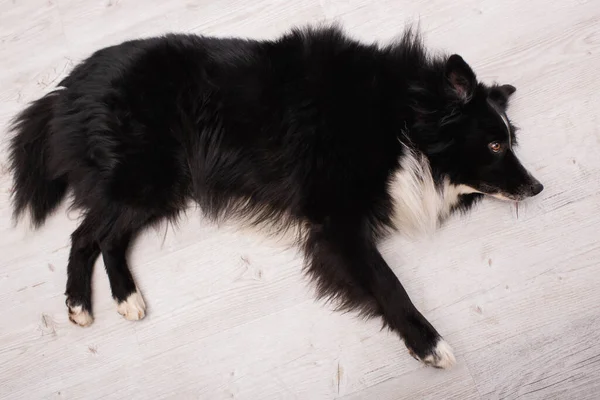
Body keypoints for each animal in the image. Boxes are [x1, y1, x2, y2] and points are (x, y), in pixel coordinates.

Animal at [8, 25, 544, 368]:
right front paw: (429, 345)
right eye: (495, 145)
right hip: (146, 179)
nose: (538, 187)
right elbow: (389, 285)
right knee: (86, 235)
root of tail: (67, 88)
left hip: (158, 187)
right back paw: (84, 305)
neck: (403, 118)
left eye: (511, 140)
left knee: (104, 238)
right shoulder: (336, 224)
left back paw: (121, 300)